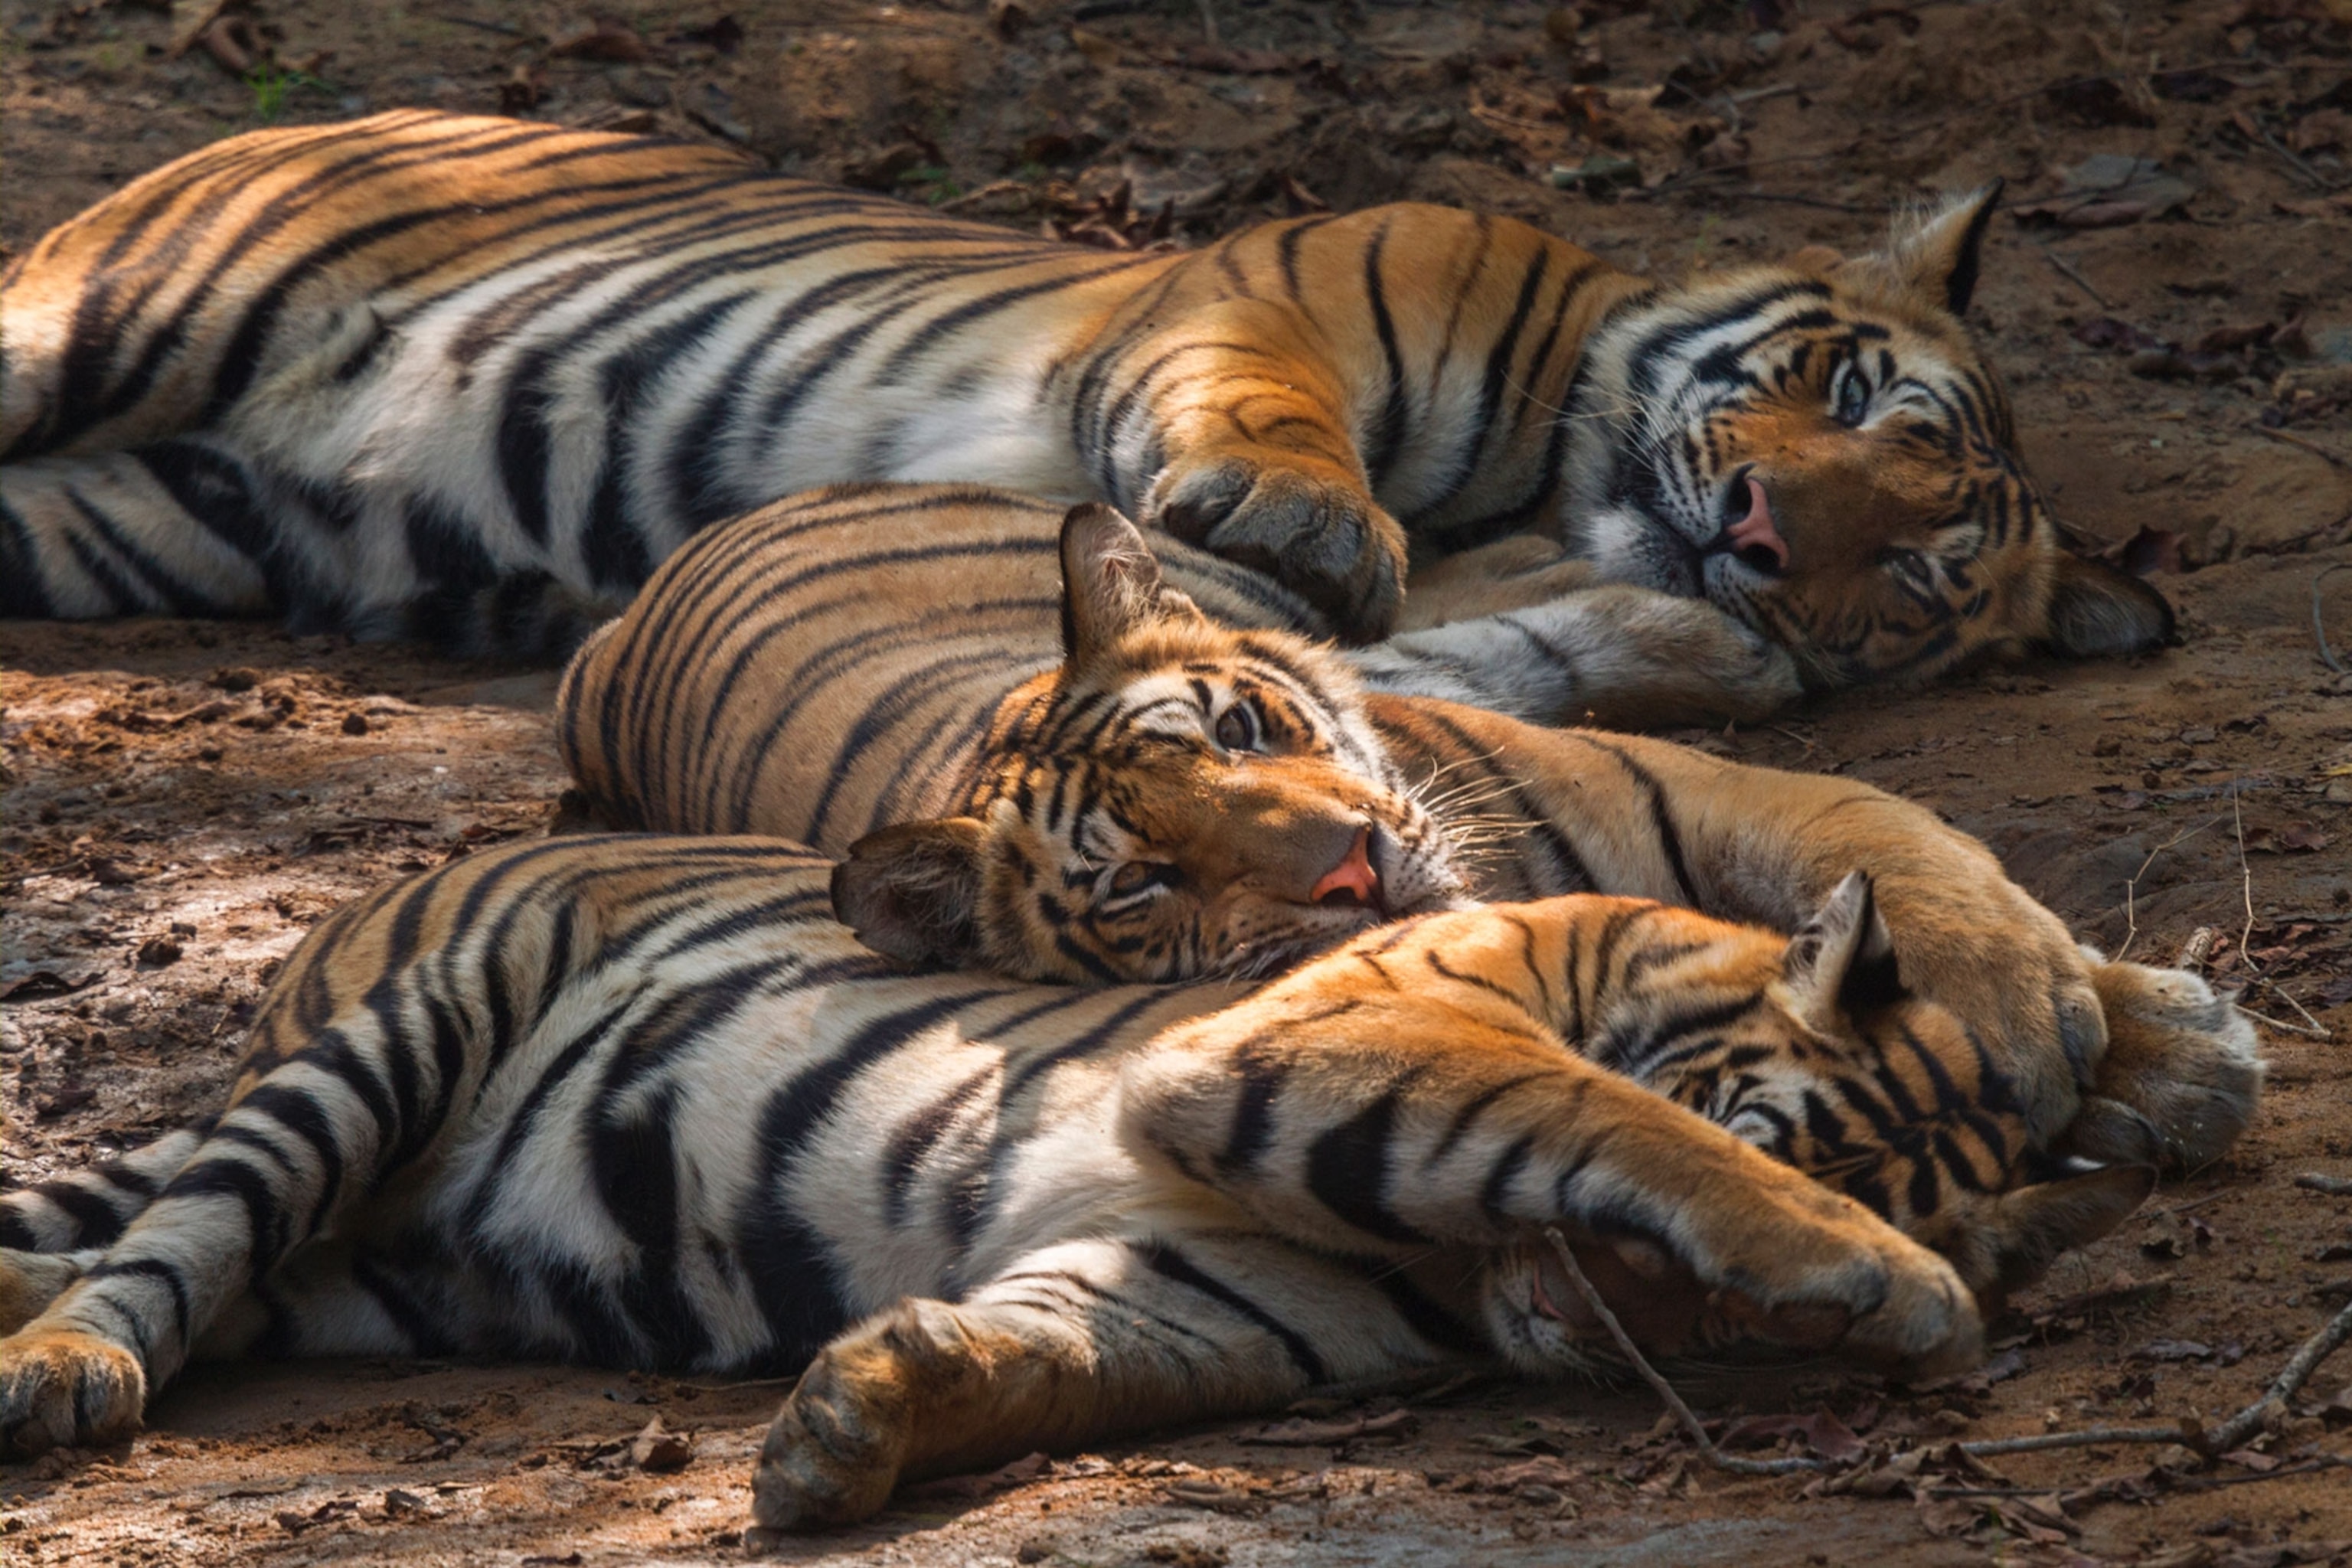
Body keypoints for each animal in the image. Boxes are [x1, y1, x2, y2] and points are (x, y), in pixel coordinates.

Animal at [0, 833, 2159, 1534]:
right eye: (1715, 1281)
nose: (1600, 1328)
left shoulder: (1205, 1289)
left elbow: (1048, 1359)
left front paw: (856, 1426)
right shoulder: (1332, 1036)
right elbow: (1626, 1118)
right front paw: (1881, 1274)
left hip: (370, 1270)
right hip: (389, 1047)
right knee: (172, 1242)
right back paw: (61, 1375)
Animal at [2, 110, 2172, 717]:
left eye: (1915, 575)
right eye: (1837, 387)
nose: (1757, 542)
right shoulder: (1251, 293)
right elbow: (1272, 426)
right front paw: (1296, 512)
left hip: (147, 516)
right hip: (99, 322)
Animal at [556, 485, 2261, 1178]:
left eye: (1238, 732)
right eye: (1147, 881)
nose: (1351, 866)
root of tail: (627, 609)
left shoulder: (1719, 794)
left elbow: (1914, 861)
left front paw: (2108, 1032)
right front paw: (2149, 1067)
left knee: (1431, 597)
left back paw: (1705, 624)